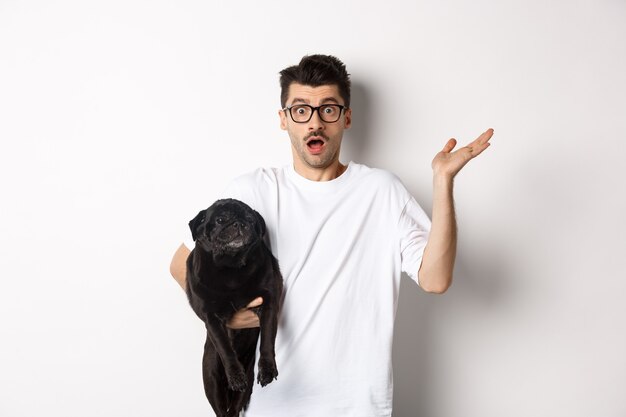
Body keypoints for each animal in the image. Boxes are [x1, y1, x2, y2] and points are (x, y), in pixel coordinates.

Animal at [185, 198, 282, 416]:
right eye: (220, 220)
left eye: (250, 220)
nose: (239, 224)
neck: (230, 267)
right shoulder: (212, 318)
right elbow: (225, 348)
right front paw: (235, 375)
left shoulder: (268, 304)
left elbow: (267, 340)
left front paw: (267, 369)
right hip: (212, 380)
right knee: (222, 410)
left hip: (246, 384)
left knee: (234, 409)